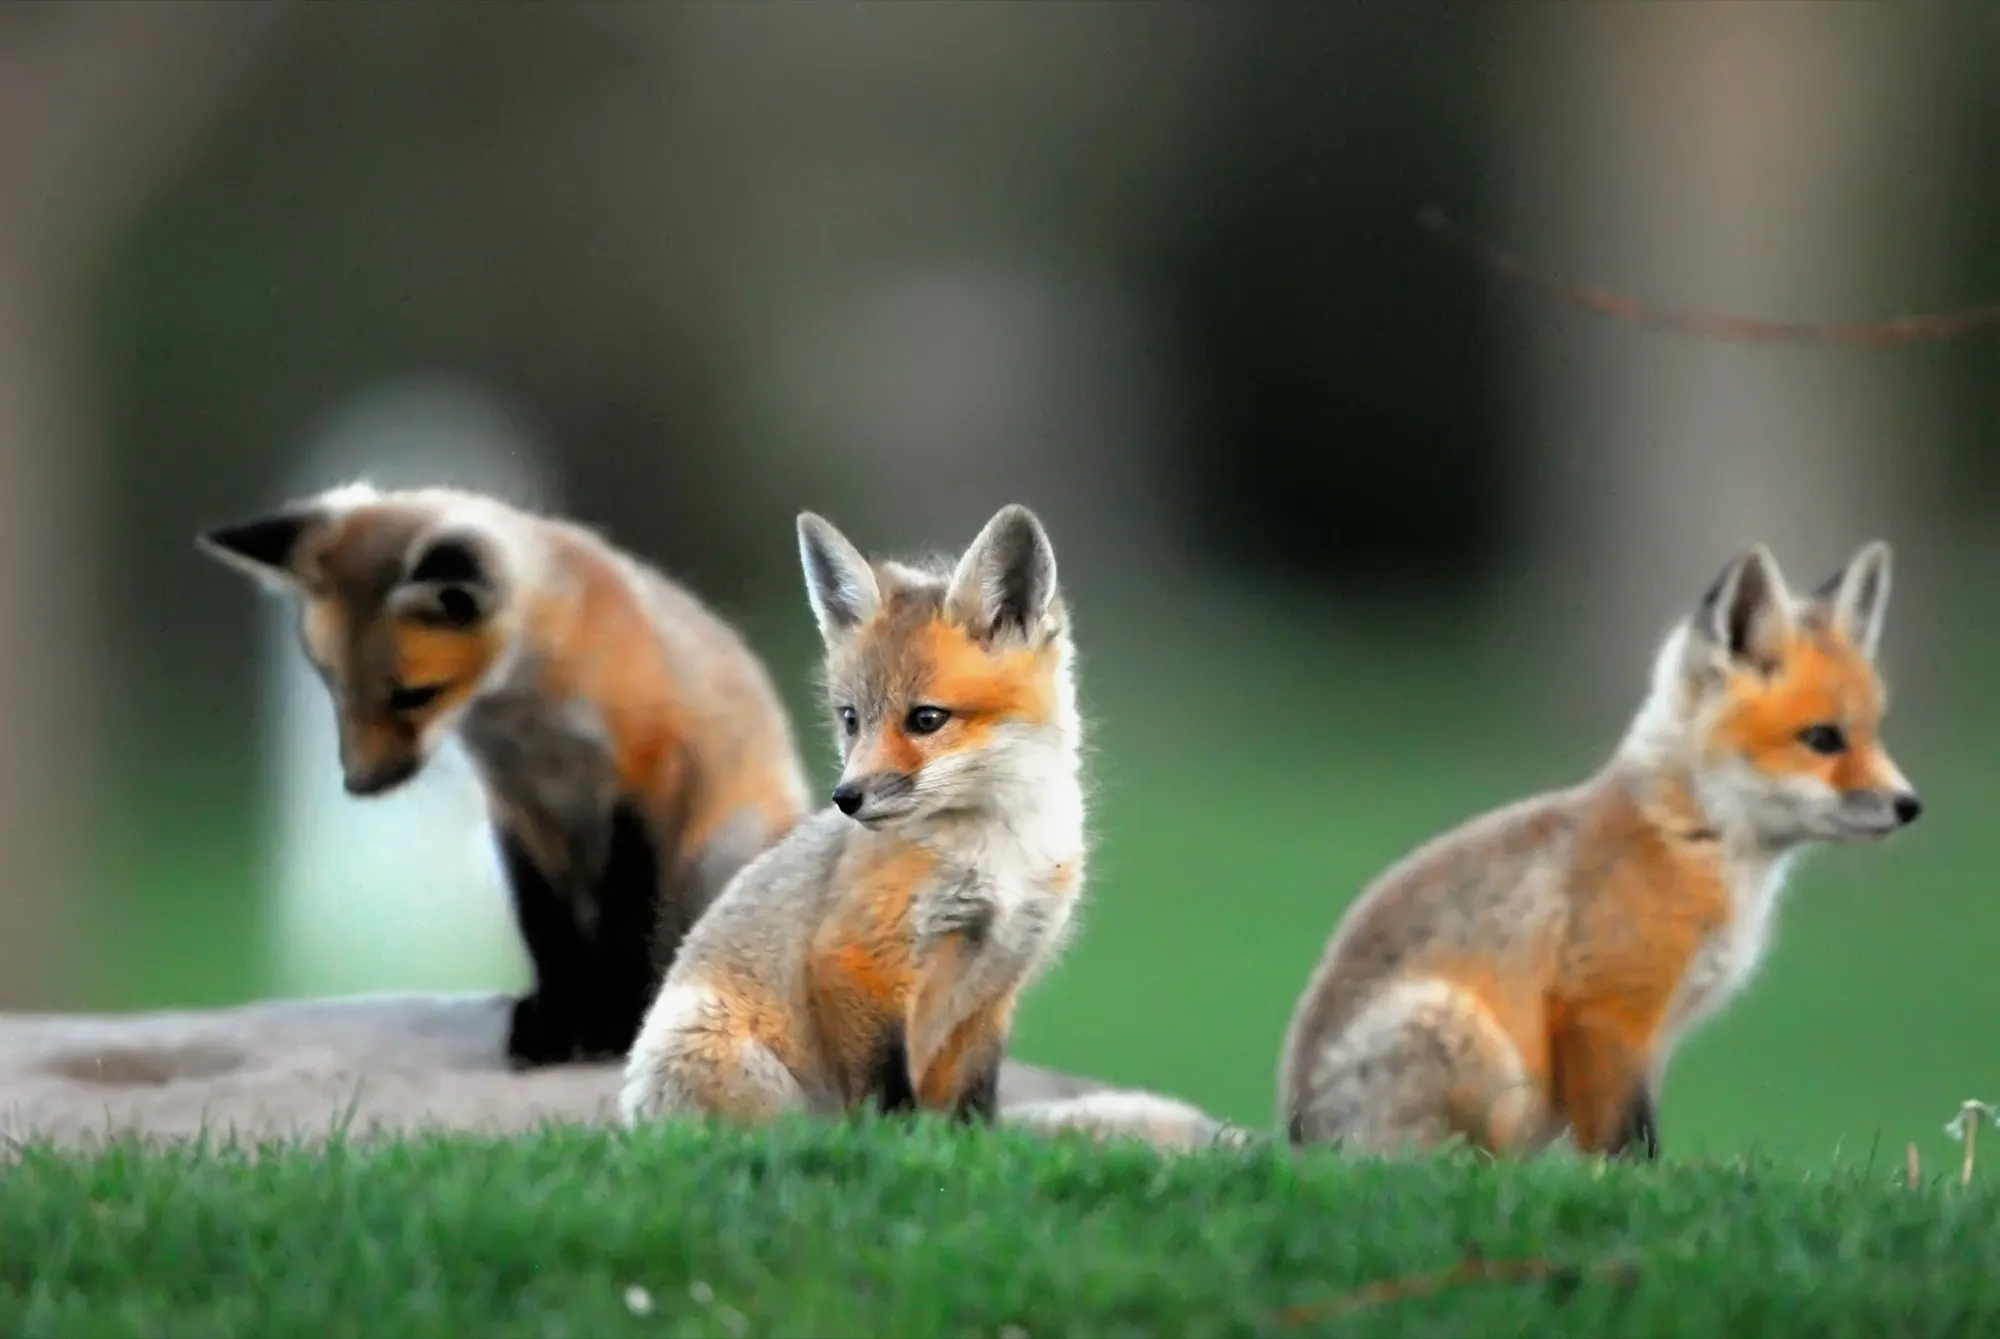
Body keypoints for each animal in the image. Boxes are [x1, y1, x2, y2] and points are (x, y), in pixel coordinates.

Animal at [197, 482, 812, 1069]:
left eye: (413, 696)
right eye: (332, 683)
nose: (359, 785)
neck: (529, 717)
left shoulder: (646, 773)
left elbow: (627, 917)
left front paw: (614, 1024)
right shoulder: (516, 805)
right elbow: (547, 932)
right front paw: (555, 1024)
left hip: (726, 851)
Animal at [618, 503, 1088, 1127]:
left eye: (926, 719)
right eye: (850, 719)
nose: (846, 797)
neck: (1000, 855)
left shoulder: (995, 985)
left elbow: (971, 1106)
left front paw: (968, 1147)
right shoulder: (854, 957)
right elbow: (887, 1097)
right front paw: (900, 1144)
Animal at [1279, 539, 1922, 1161]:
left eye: (1873, 732)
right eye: (1822, 739)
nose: (1910, 804)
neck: (1688, 840)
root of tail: (1297, 1138)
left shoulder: (1650, 1036)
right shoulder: (1606, 1009)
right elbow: (1624, 1145)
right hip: (1467, 1048)